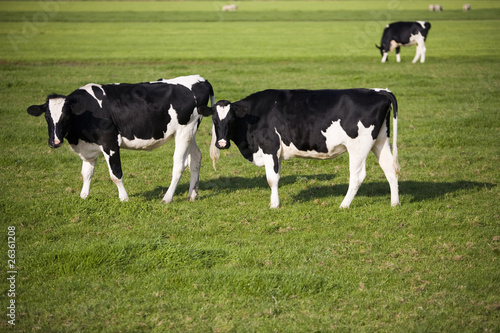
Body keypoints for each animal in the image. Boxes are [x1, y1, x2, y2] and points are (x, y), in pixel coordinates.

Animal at [27, 74, 214, 202]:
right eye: (47, 117)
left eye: (65, 116)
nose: (55, 142)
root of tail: (200, 79)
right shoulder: (89, 147)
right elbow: (86, 173)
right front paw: (83, 196)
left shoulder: (109, 141)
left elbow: (115, 174)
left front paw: (124, 198)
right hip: (190, 133)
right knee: (196, 158)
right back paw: (192, 195)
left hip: (185, 131)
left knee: (179, 165)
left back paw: (167, 198)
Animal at [201, 87, 400, 208]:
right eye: (214, 120)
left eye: (231, 120)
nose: (221, 143)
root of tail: (380, 91)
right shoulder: (276, 153)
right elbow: (276, 177)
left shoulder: (270, 147)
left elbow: (271, 179)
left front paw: (274, 205)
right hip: (380, 141)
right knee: (390, 169)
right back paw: (394, 203)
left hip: (358, 147)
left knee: (358, 176)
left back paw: (344, 204)